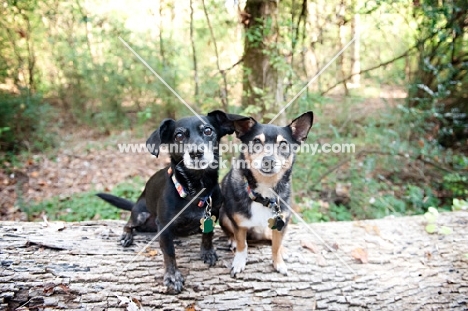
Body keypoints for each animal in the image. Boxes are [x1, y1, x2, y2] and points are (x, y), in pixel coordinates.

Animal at [97, 111, 250, 294]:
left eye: (208, 130)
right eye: (179, 135)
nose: (196, 153)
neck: (195, 190)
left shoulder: (212, 214)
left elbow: (208, 235)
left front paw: (207, 252)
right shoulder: (164, 226)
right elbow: (169, 253)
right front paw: (172, 277)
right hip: (141, 214)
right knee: (128, 224)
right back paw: (127, 235)